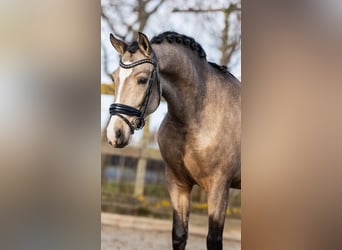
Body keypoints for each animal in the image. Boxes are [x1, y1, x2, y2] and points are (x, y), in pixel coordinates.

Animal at [107, 31, 240, 250]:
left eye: (142, 80)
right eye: (114, 78)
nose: (114, 134)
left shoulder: (219, 186)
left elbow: (213, 240)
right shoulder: (178, 183)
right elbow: (179, 235)